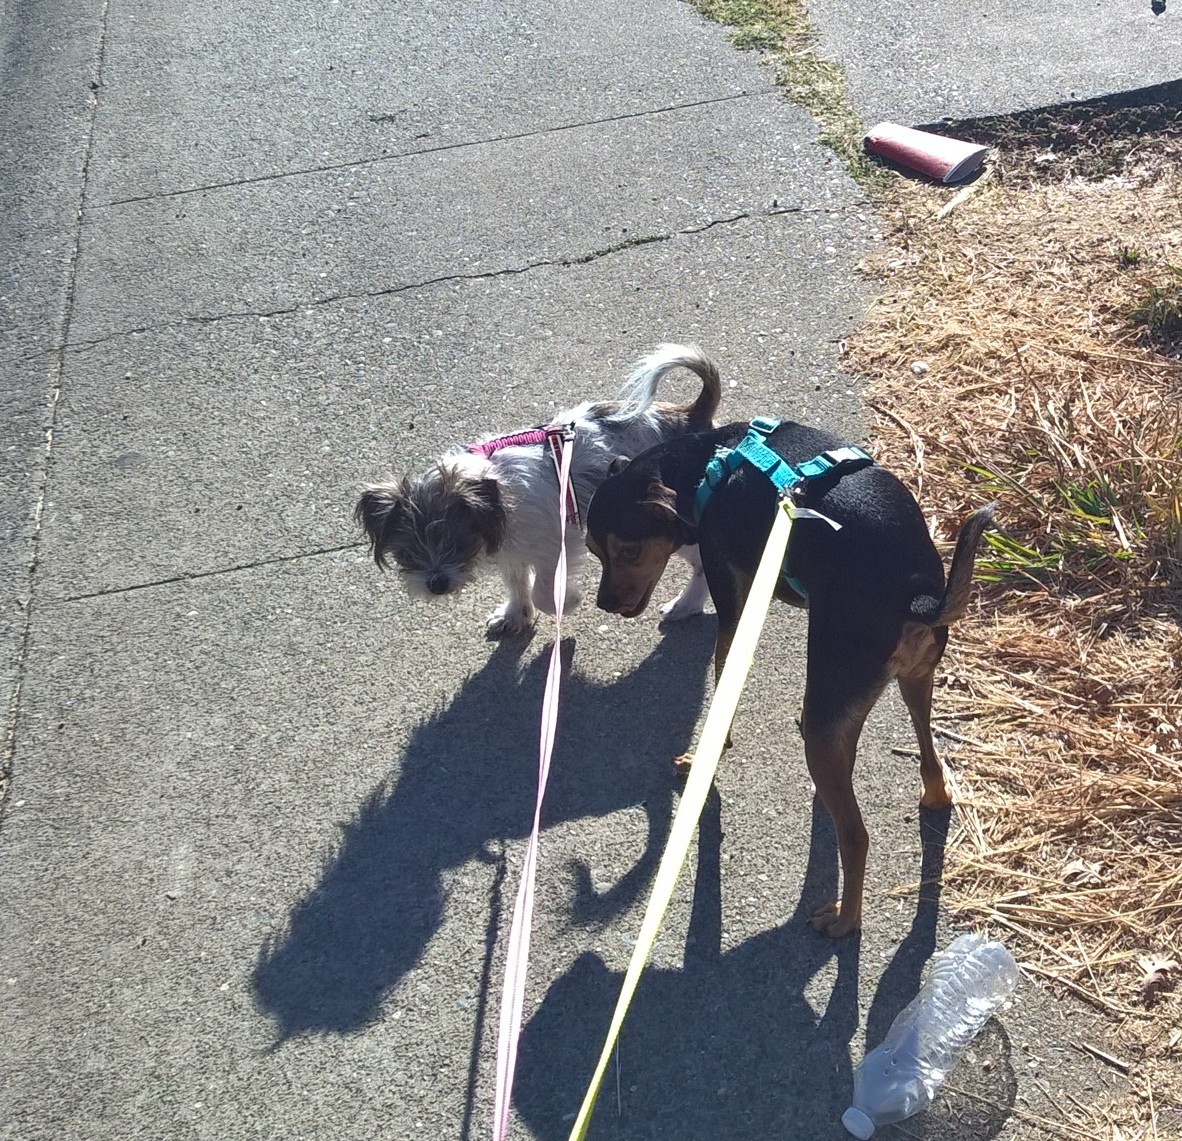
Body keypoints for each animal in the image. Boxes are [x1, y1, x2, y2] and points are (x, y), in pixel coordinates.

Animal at [356, 344, 722, 636]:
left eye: (457, 542)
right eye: (406, 552)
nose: (436, 585)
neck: (500, 494)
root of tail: (690, 415)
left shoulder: (557, 544)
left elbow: (543, 593)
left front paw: (567, 600)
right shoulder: (511, 549)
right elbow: (517, 584)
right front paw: (514, 615)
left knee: (702, 564)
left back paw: (686, 604)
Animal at [586, 407, 994, 938]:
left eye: (629, 551)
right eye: (594, 551)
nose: (604, 603)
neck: (705, 463)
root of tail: (918, 596)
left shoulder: (734, 610)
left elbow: (723, 689)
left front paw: (703, 759)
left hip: (837, 713)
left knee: (856, 836)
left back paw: (844, 920)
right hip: (911, 682)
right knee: (925, 759)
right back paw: (930, 793)